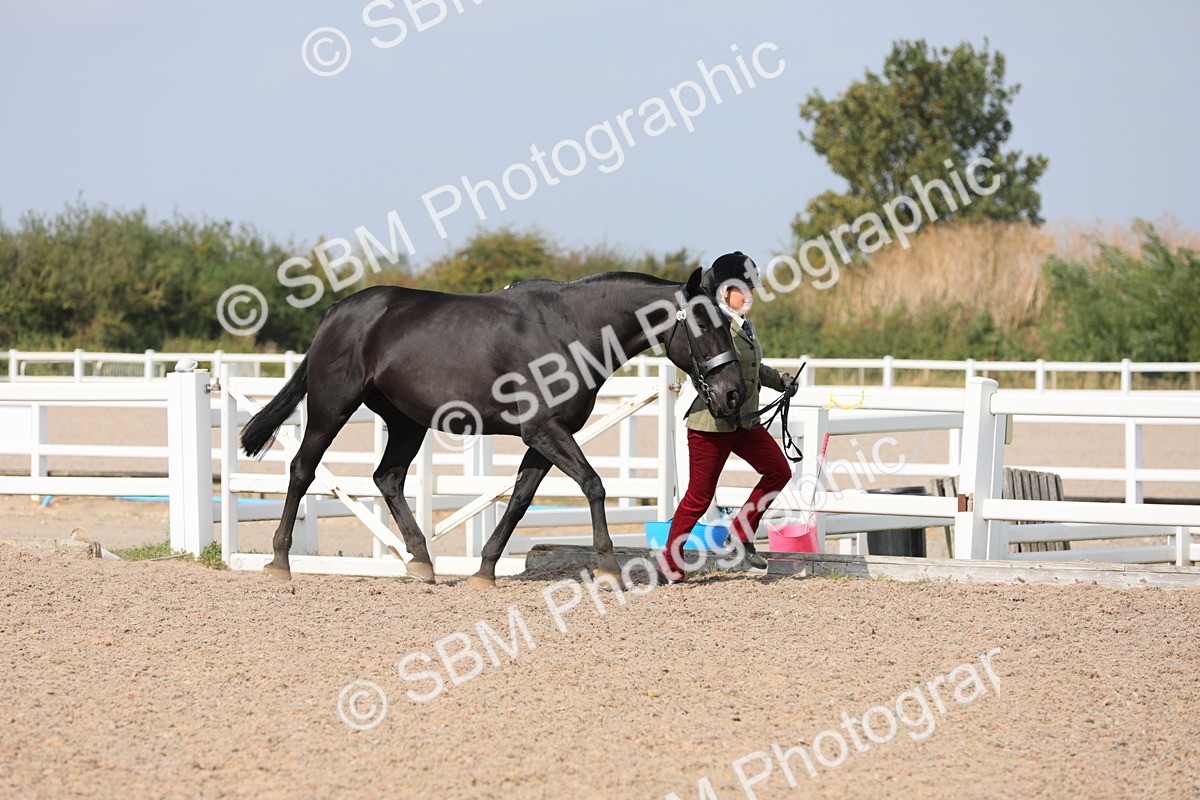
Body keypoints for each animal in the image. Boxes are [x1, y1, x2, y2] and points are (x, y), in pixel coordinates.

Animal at [240, 268, 745, 587]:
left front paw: (484, 570)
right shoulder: (544, 430)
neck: (570, 329)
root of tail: (338, 309)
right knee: (302, 469)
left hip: (406, 423)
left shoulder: (544, 438)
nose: (733, 394)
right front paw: (607, 568)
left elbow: (520, 499)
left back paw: (422, 562)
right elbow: (594, 485)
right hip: (331, 408)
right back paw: (280, 560)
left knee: (388, 478)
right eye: (704, 324)